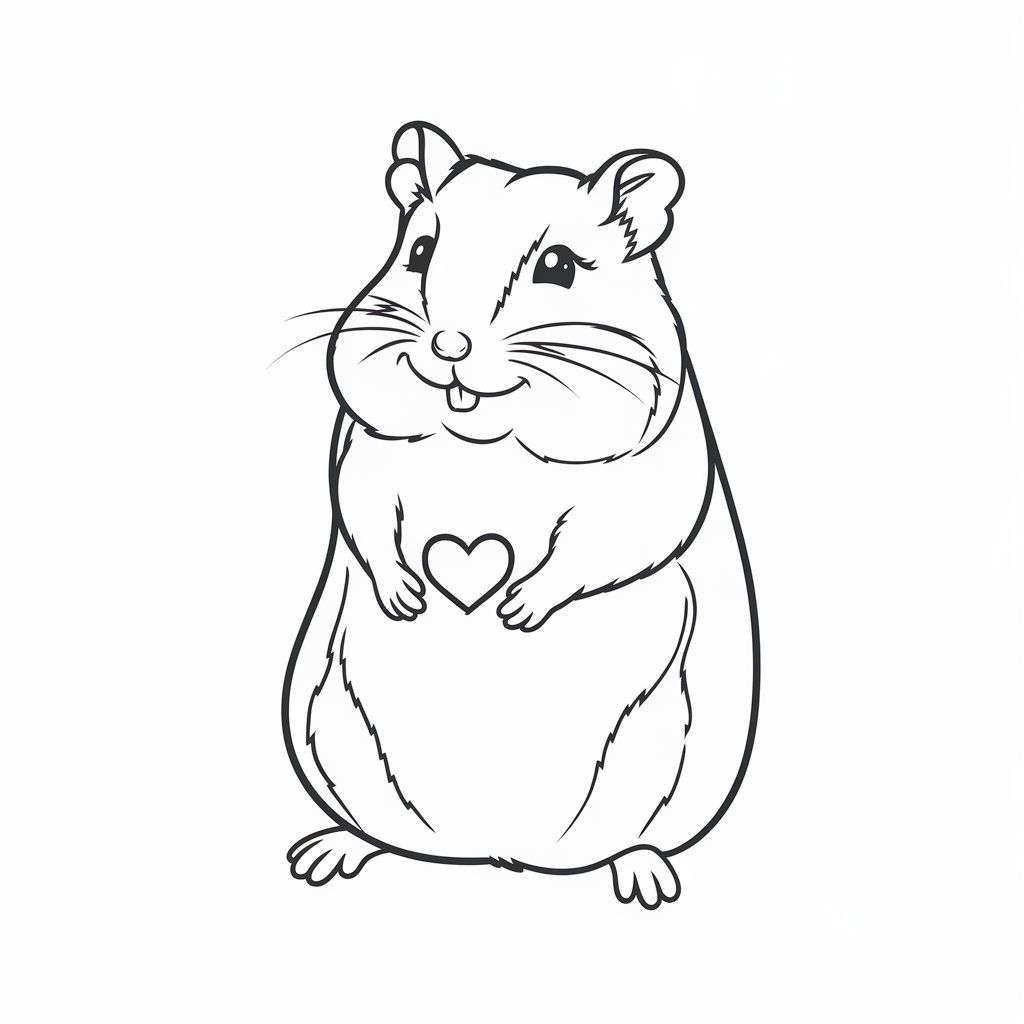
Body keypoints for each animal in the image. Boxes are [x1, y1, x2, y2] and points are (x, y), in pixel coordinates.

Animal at [282, 122, 759, 909]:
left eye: (558, 267)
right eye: (420, 251)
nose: (447, 346)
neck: (484, 443)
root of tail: (497, 854)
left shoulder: (650, 480)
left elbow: (602, 546)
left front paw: (514, 610)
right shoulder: (364, 457)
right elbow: (366, 515)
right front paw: (408, 598)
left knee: (633, 843)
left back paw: (647, 879)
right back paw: (323, 855)